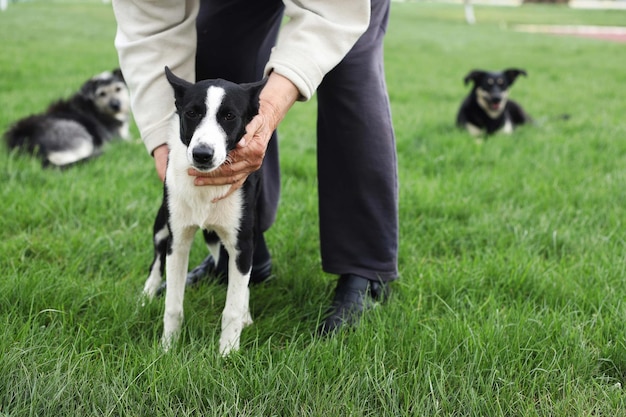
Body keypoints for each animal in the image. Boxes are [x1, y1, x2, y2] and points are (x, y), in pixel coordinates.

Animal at [142, 67, 266, 354]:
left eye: (229, 116)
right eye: (192, 113)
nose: (202, 154)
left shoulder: (243, 243)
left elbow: (232, 306)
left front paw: (227, 353)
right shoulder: (177, 243)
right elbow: (173, 305)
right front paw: (168, 348)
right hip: (162, 224)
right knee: (156, 257)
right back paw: (148, 292)